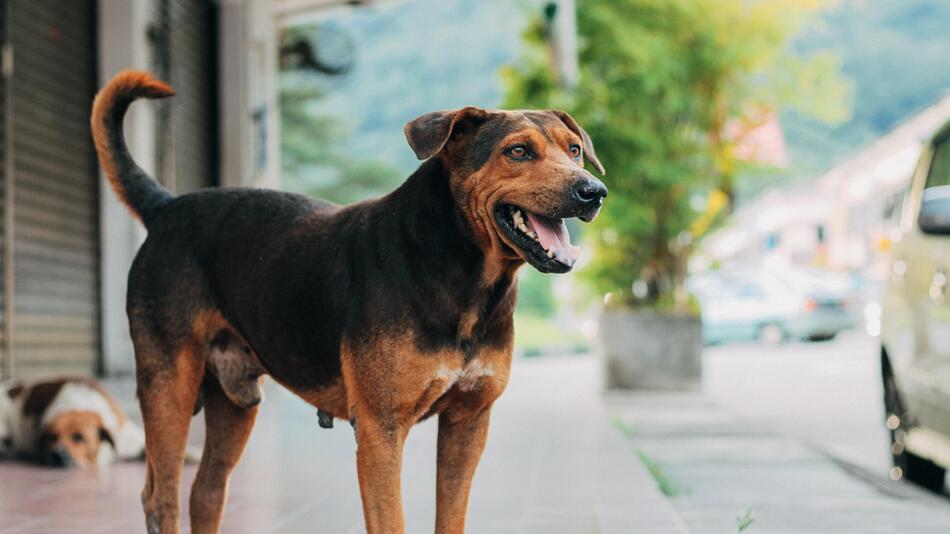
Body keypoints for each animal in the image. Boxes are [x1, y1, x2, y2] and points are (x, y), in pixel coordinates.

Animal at [91, 72, 608, 534]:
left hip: (234, 401)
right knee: (160, 498)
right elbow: (391, 521)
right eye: (517, 152)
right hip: (169, 385)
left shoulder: (468, 422)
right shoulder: (381, 430)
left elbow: (451, 517)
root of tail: (165, 207)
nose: (594, 191)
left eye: (574, 149)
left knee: (206, 492)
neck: (464, 278)